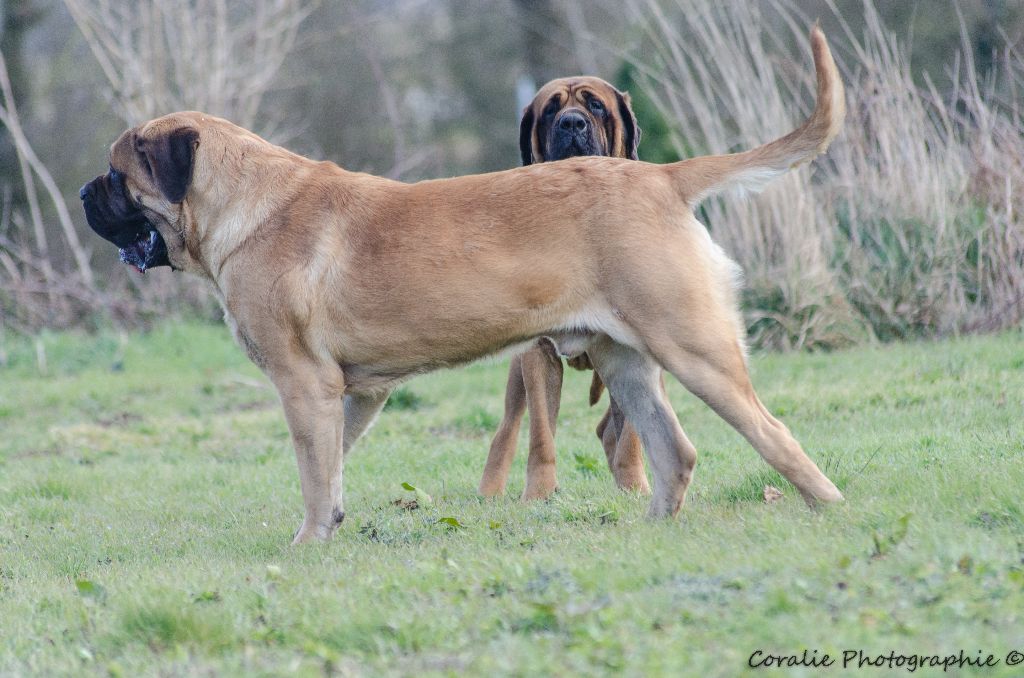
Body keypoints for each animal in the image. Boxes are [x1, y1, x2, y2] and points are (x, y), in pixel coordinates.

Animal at [477, 76, 651, 503]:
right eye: (551, 109)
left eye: (597, 105)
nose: (572, 122)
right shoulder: (538, 353)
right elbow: (541, 432)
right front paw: (539, 494)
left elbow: (631, 432)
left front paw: (634, 486)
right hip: (516, 372)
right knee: (507, 428)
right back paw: (489, 492)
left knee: (611, 427)